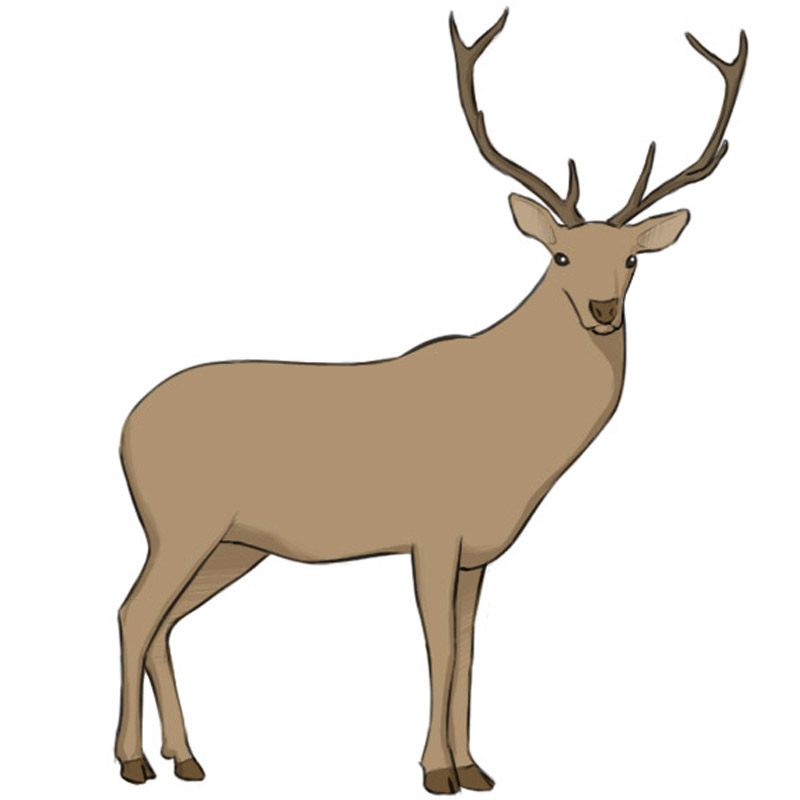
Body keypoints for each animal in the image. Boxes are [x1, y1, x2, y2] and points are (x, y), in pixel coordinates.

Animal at [115, 9, 747, 795]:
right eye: (560, 256)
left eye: (631, 259)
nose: (602, 311)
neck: (516, 447)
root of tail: (123, 428)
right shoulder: (432, 531)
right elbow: (438, 648)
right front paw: (435, 770)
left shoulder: (479, 551)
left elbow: (471, 650)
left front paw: (476, 767)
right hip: (179, 524)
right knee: (134, 613)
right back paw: (134, 761)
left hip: (233, 545)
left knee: (166, 622)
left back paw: (188, 757)